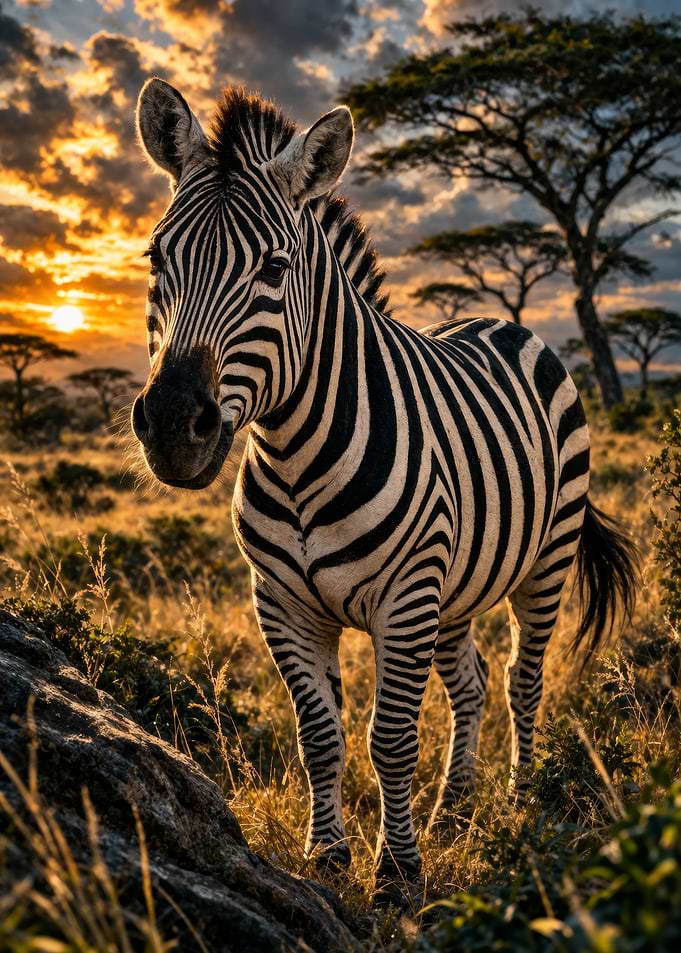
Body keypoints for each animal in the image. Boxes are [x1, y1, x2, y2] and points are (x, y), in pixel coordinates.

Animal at [131, 78, 637, 904]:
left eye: (274, 268)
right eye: (156, 256)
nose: (175, 423)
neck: (296, 458)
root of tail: (501, 321)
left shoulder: (404, 596)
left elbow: (391, 737)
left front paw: (397, 874)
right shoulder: (282, 602)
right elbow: (319, 735)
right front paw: (328, 854)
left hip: (543, 558)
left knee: (521, 680)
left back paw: (518, 800)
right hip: (456, 586)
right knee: (469, 684)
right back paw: (453, 810)